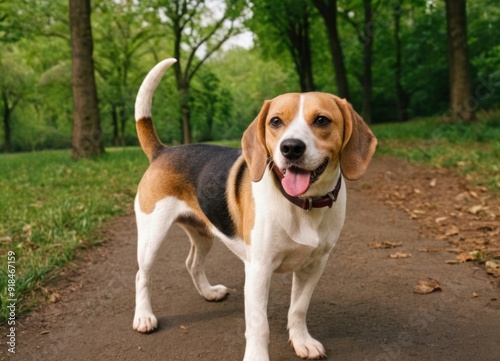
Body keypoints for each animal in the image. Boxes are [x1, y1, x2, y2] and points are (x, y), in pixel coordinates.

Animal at [131, 57, 376, 358]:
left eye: (322, 120)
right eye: (275, 121)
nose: (291, 148)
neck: (302, 205)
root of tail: (163, 151)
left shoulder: (314, 265)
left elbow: (298, 309)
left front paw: (301, 341)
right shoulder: (258, 269)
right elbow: (259, 324)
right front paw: (257, 357)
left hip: (203, 233)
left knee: (192, 263)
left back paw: (209, 292)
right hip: (152, 235)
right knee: (142, 275)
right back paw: (144, 317)